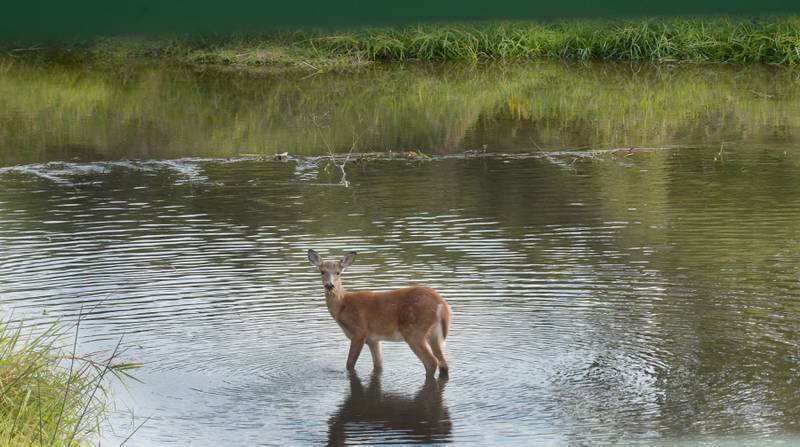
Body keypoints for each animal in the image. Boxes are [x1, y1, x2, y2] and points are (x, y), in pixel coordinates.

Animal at [307, 249, 452, 377]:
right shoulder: (373, 339)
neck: (343, 305)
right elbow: (379, 365)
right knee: (444, 364)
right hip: (433, 334)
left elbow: (349, 364)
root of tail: (442, 304)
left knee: (432, 362)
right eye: (322, 271)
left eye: (338, 272)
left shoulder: (359, 331)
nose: (329, 285)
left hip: (414, 331)